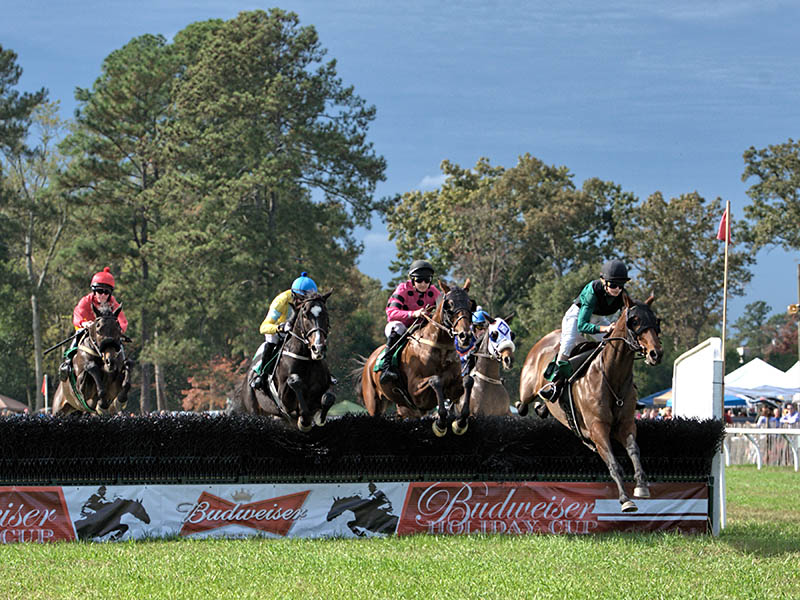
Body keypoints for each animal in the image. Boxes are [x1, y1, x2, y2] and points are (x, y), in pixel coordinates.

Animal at [230, 290, 336, 432]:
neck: (306, 360)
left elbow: (329, 397)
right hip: (253, 409)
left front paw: (320, 418)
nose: (318, 348)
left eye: (325, 314)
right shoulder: (285, 402)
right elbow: (295, 382)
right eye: (305, 315)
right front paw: (304, 421)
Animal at [358, 278, 476, 438]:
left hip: (405, 408)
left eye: (470, 304)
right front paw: (440, 424)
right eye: (449, 305)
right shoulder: (416, 393)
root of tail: (369, 362)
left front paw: (460, 423)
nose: (465, 336)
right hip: (374, 403)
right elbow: (436, 380)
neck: (440, 349)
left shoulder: (453, 386)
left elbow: (468, 381)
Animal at [516, 292, 660, 512]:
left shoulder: (626, 424)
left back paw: (541, 407)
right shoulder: (597, 428)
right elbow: (613, 464)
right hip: (527, 389)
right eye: (635, 321)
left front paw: (642, 486)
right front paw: (625, 500)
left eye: (655, 320)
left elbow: (635, 451)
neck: (612, 375)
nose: (656, 353)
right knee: (522, 405)